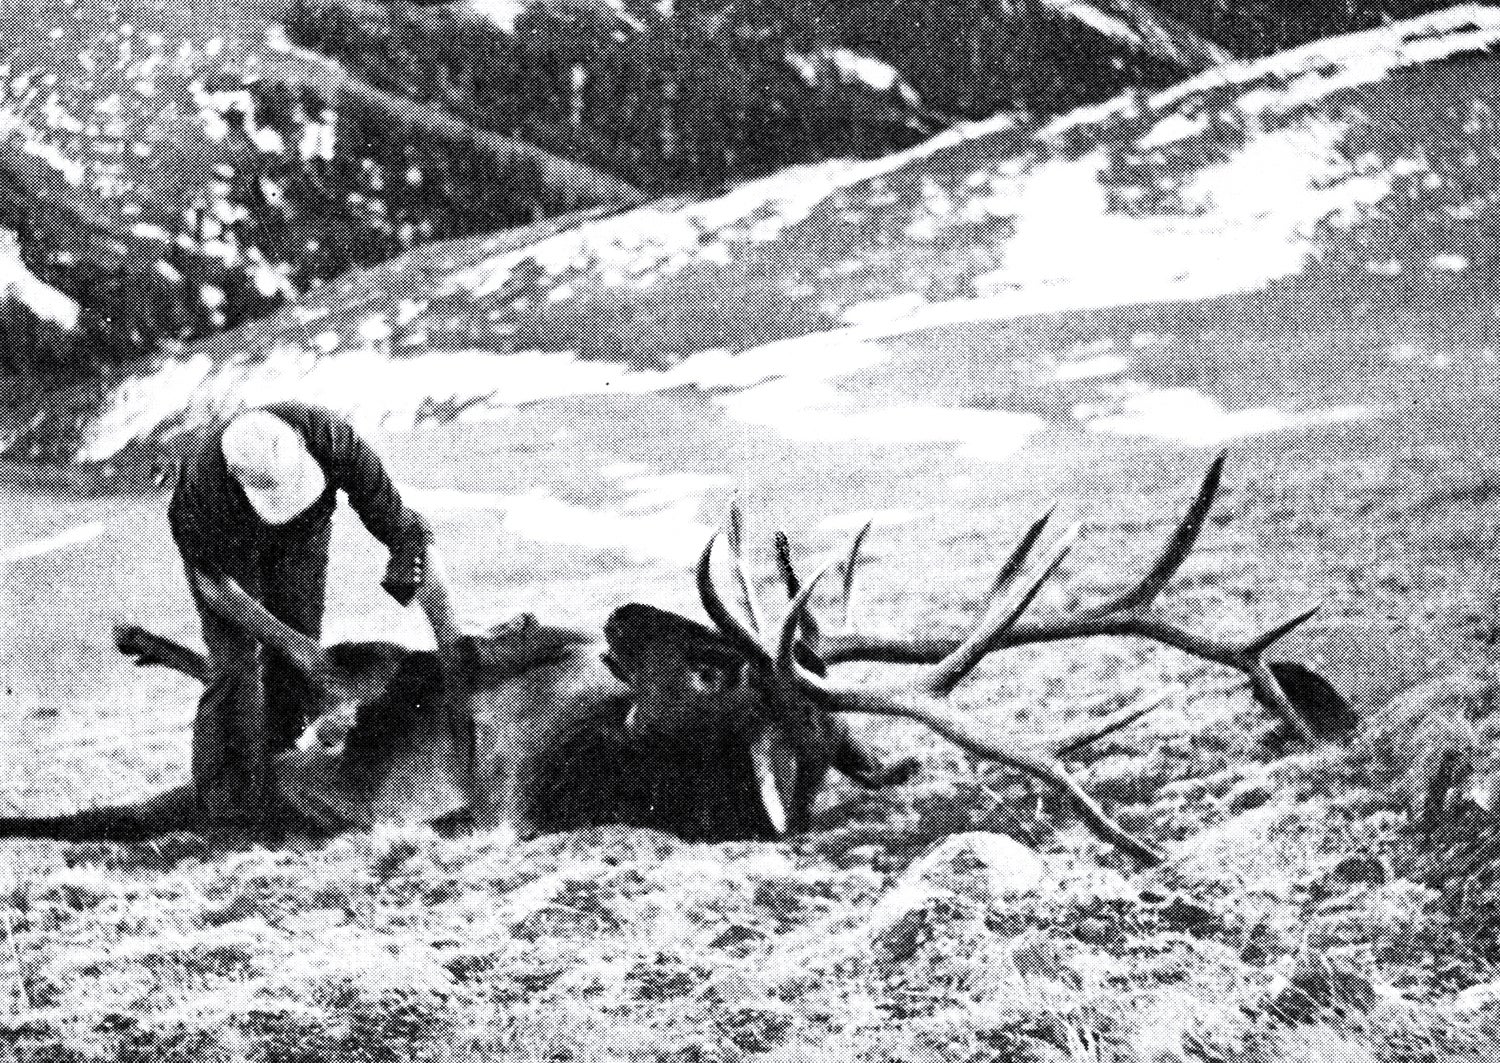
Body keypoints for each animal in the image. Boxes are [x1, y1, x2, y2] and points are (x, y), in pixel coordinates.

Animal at [0, 453, 1349, 865]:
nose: (618, 617)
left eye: (711, 672)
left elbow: (359, 682)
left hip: (260, 766)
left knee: (261, 700)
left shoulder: (463, 778)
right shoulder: (469, 670)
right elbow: (414, 643)